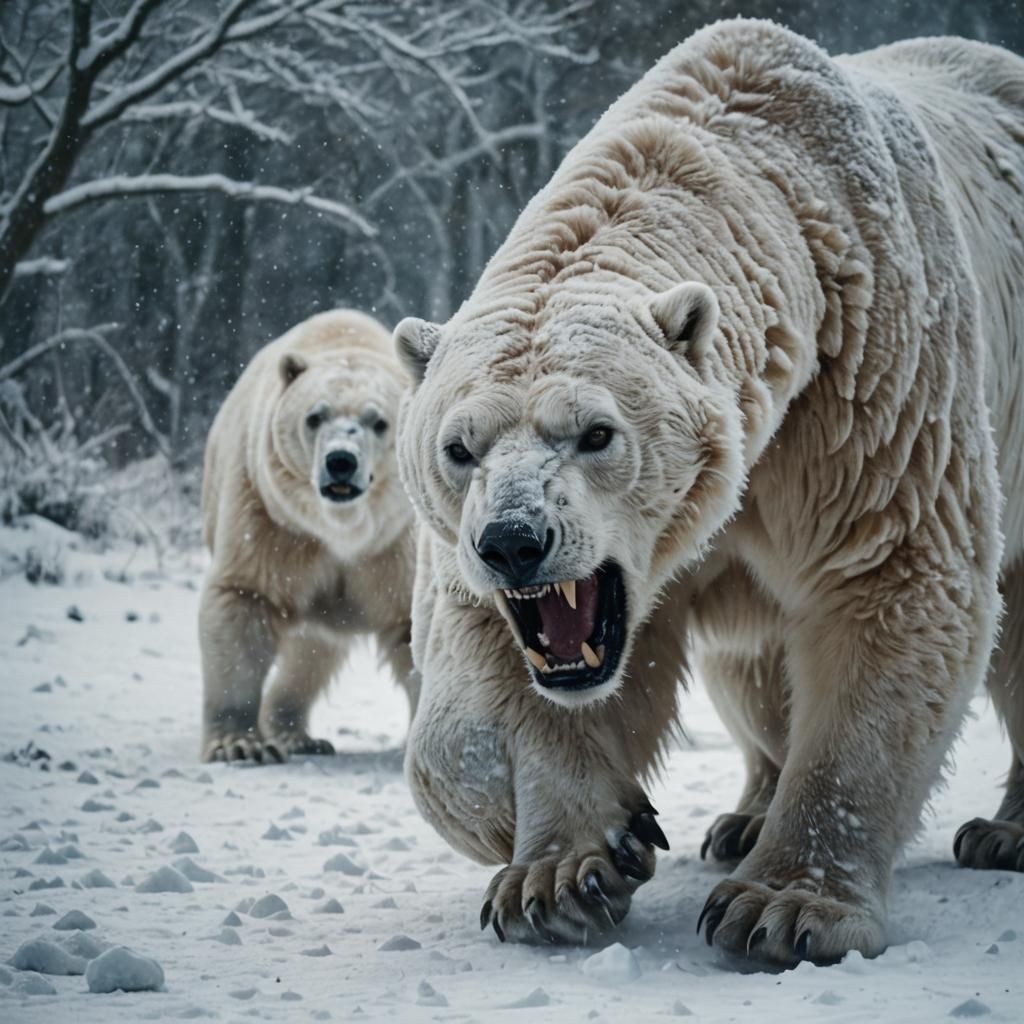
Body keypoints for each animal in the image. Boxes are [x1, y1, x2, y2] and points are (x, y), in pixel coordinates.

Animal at [199, 309, 417, 763]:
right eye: (314, 416)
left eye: (379, 421)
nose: (341, 462)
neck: (343, 531)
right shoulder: (271, 520)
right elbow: (242, 600)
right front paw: (239, 744)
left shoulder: (398, 545)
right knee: (307, 652)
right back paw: (295, 735)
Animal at [390, 20, 1024, 963]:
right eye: (457, 447)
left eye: (597, 431)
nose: (513, 542)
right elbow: (473, 686)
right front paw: (572, 866)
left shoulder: (869, 390)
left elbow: (891, 580)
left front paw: (785, 907)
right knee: (751, 670)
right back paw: (742, 816)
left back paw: (1003, 831)